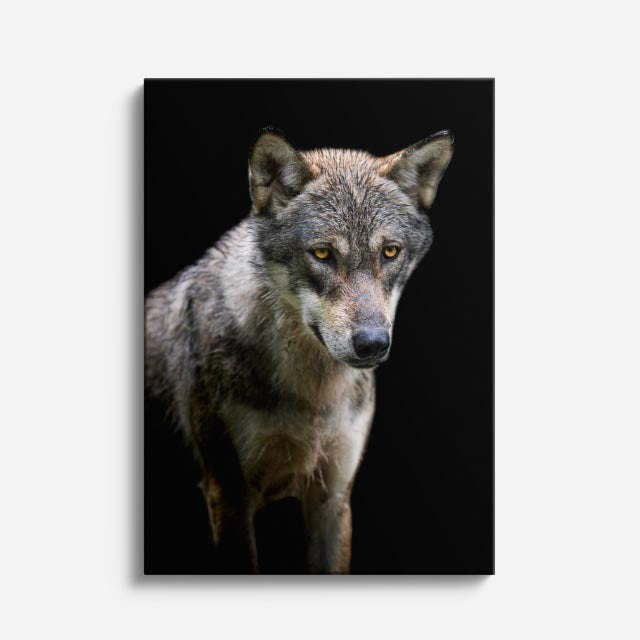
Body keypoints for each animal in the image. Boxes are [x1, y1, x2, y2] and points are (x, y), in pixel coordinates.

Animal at [145, 129, 453, 573]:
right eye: (323, 253)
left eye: (390, 252)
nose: (372, 343)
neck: (311, 398)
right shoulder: (228, 496)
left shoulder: (332, 498)